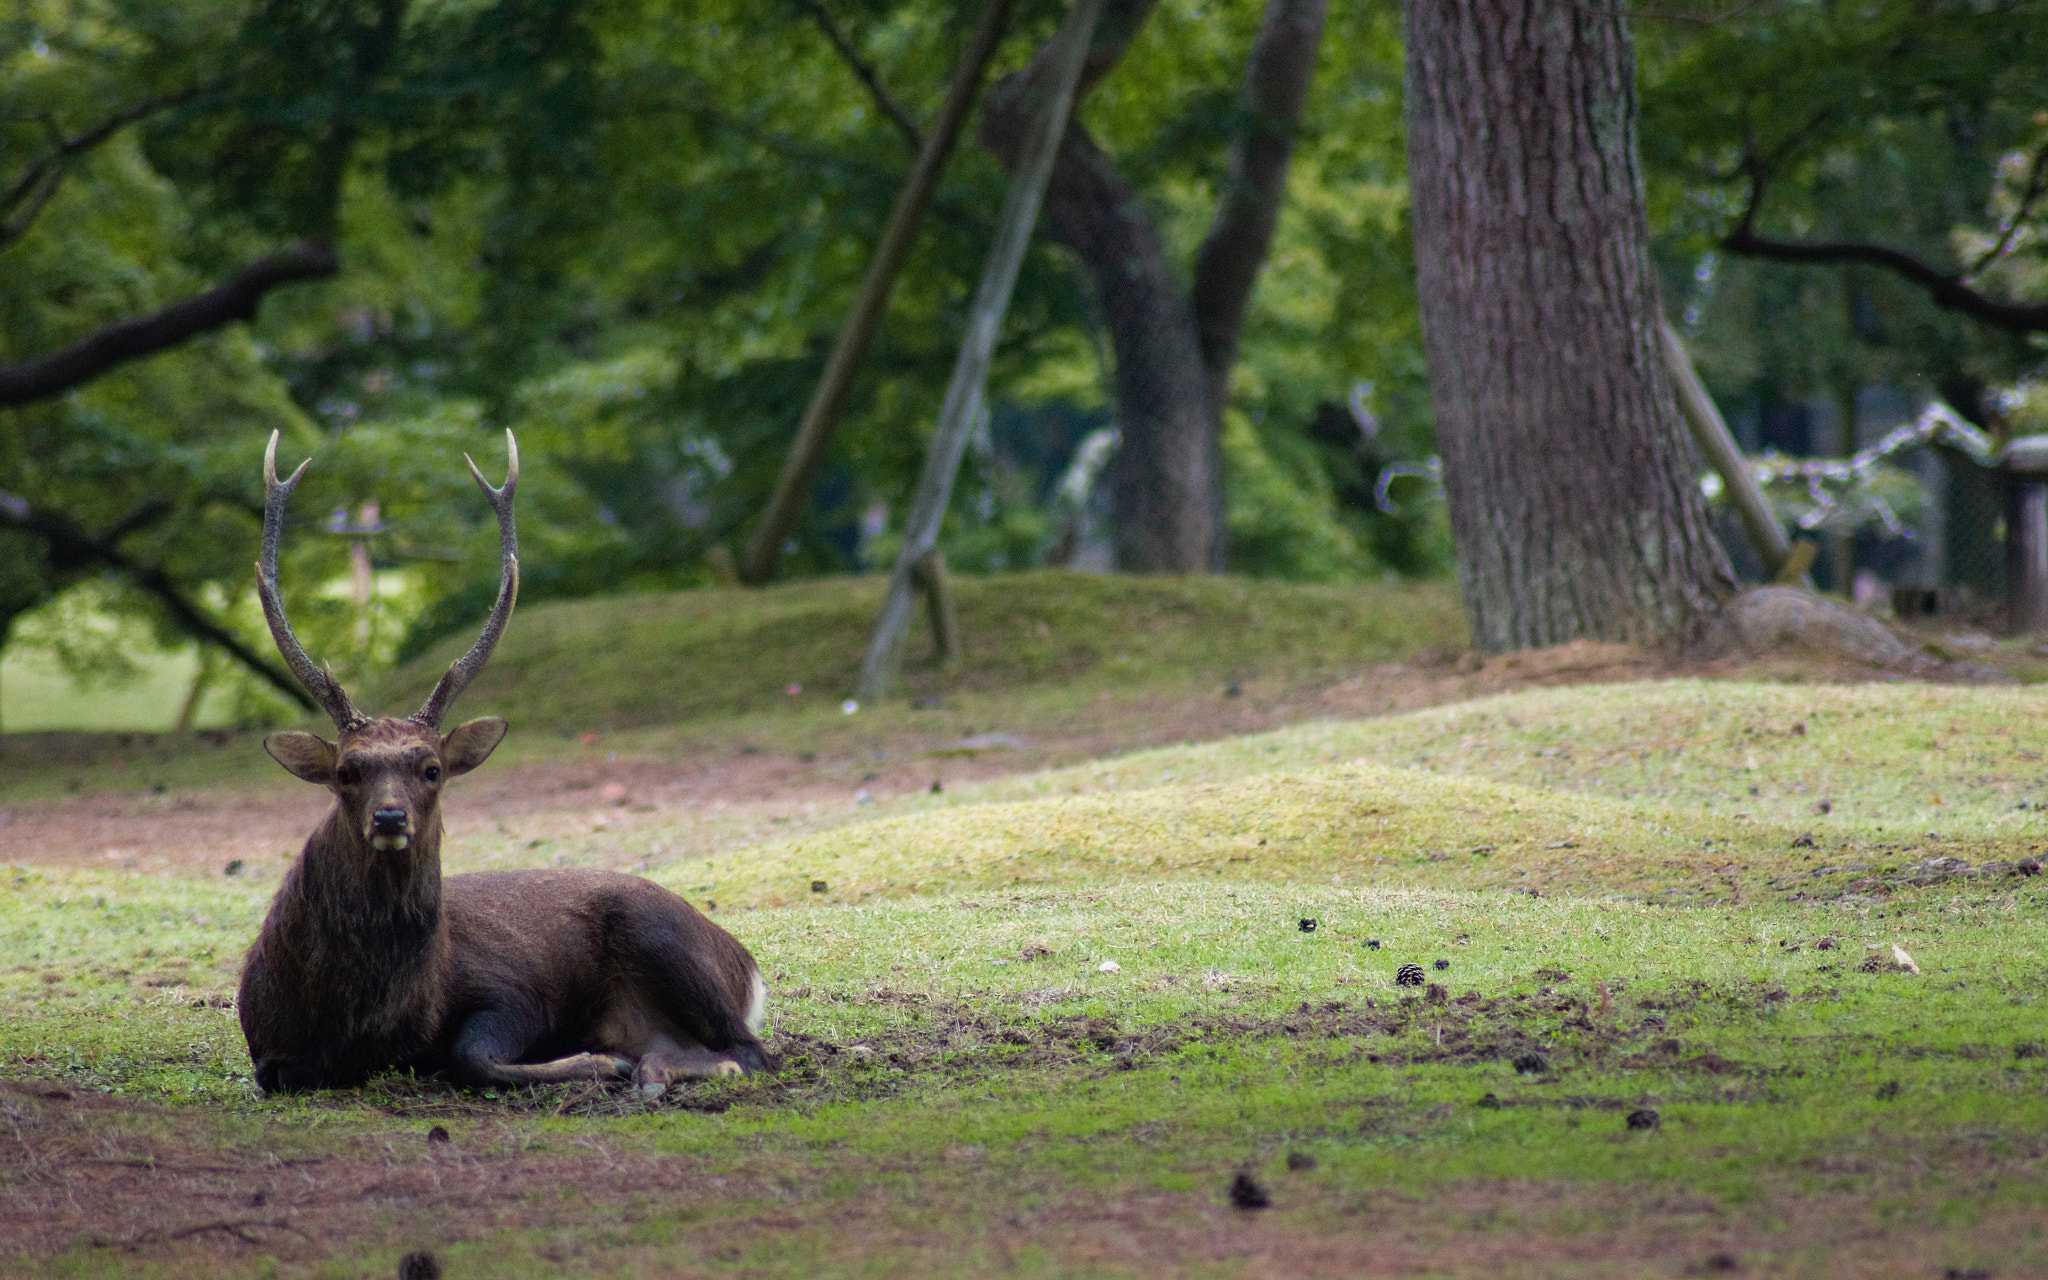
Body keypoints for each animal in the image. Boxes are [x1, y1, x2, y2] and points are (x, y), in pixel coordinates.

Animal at [237, 430, 770, 1089]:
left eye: (432, 769)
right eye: (345, 772)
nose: (389, 818)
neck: (366, 1021)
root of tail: (747, 965)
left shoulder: (513, 990)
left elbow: (473, 1054)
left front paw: (599, 1061)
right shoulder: (266, 1047)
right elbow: (283, 1072)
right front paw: (606, 1058)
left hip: (664, 935)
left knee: (751, 1050)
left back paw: (651, 1068)